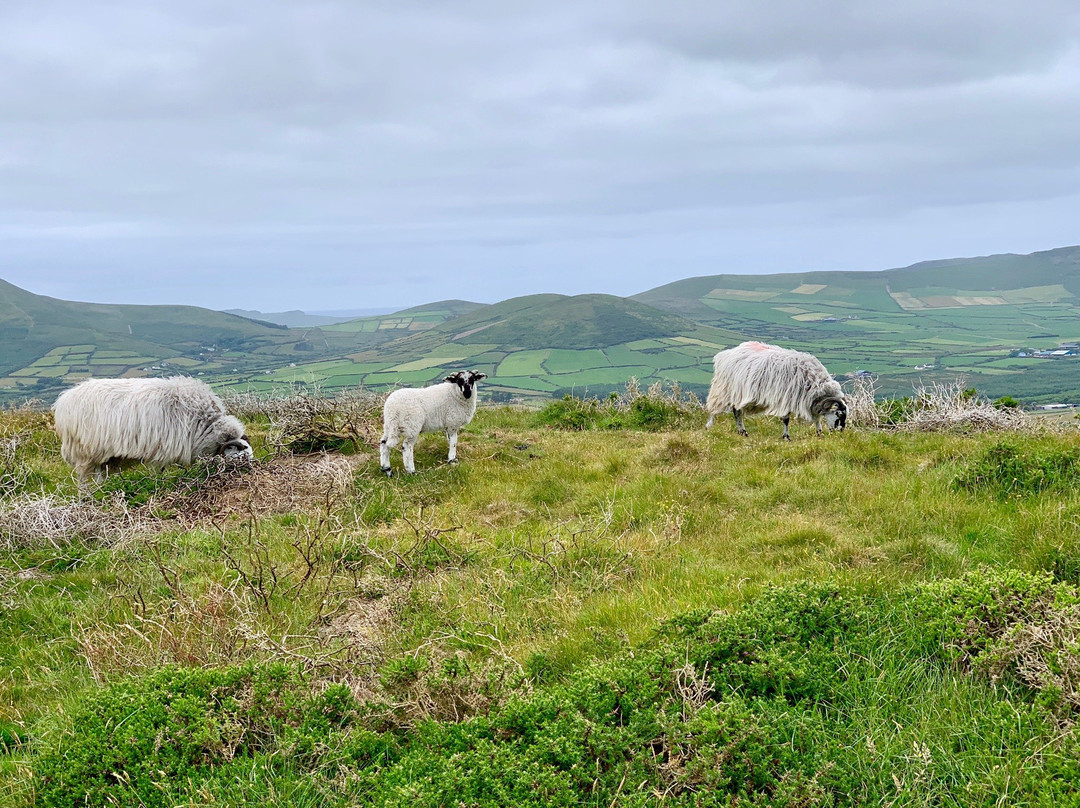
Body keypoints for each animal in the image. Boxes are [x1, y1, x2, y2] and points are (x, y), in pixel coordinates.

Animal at [53, 375, 253, 483]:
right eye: (240, 454)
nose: (252, 470)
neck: (207, 426)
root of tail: (64, 400)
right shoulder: (166, 447)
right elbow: (161, 470)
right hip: (85, 453)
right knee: (85, 481)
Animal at [704, 341, 846, 442]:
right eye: (839, 414)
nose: (841, 433)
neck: (812, 380)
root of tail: (724, 355)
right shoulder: (786, 398)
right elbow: (786, 419)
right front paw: (786, 437)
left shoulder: (811, 402)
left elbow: (817, 418)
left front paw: (819, 433)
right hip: (723, 390)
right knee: (715, 409)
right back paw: (709, 426)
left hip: (737, 394)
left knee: (737, 411)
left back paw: (743, 432)